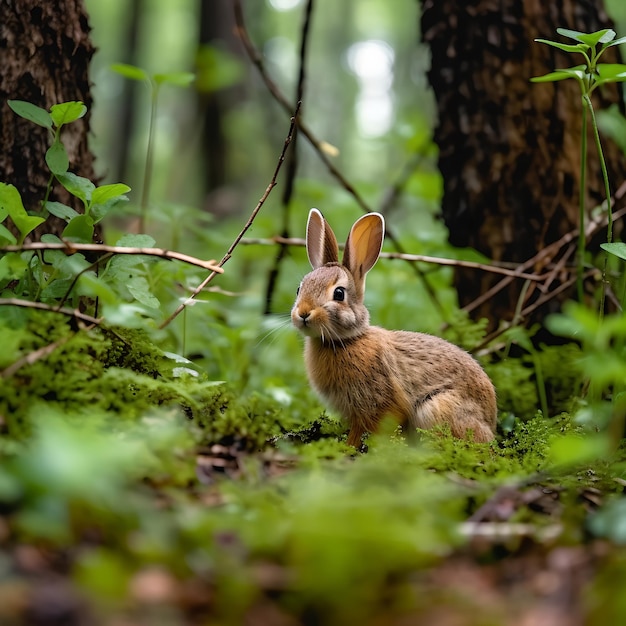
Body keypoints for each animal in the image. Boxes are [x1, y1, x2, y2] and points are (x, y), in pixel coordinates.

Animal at [288, 207, 498, 446]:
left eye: (339, 293)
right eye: (299, 289)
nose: (303, 313)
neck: (345, 341)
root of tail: (490, 427)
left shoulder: (375, 402)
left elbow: (366, 429)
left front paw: (350, 448)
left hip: (434, 408)